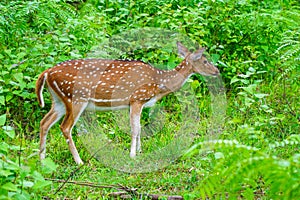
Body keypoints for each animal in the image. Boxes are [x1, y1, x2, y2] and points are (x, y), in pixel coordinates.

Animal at [35, 41, 220, 164]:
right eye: (205, 61)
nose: (217, 71)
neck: (158, 83)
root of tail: (46, 72)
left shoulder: (138, 103)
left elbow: (139, 128)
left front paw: (140, 151)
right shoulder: (137, 98)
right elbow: (135, 129)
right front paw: (132, 155)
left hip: (59, 100)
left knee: (44, 122)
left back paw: (42, 160)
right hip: (76, 98)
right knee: (65, 127)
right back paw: (79, 161)